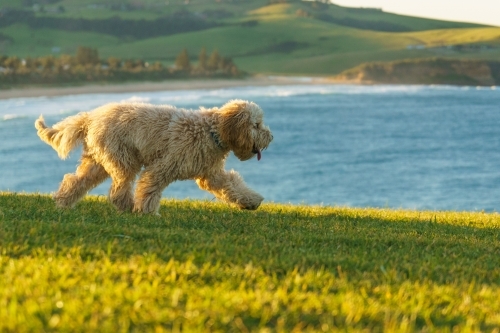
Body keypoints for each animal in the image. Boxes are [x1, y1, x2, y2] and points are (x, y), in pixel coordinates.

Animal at [34, 98, 274, 214]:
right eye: (256, 125)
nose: (271, 137)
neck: (211, 131)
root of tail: (90, 117)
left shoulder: (211, 174)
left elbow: (232, 185)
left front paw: (251, 201)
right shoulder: (163, 166)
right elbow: (150, 187)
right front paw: (147, 211)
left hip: (98, 162)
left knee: (75, 181)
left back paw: (63, 201)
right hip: (123, 158)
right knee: (117, 189)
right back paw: (127, 207)